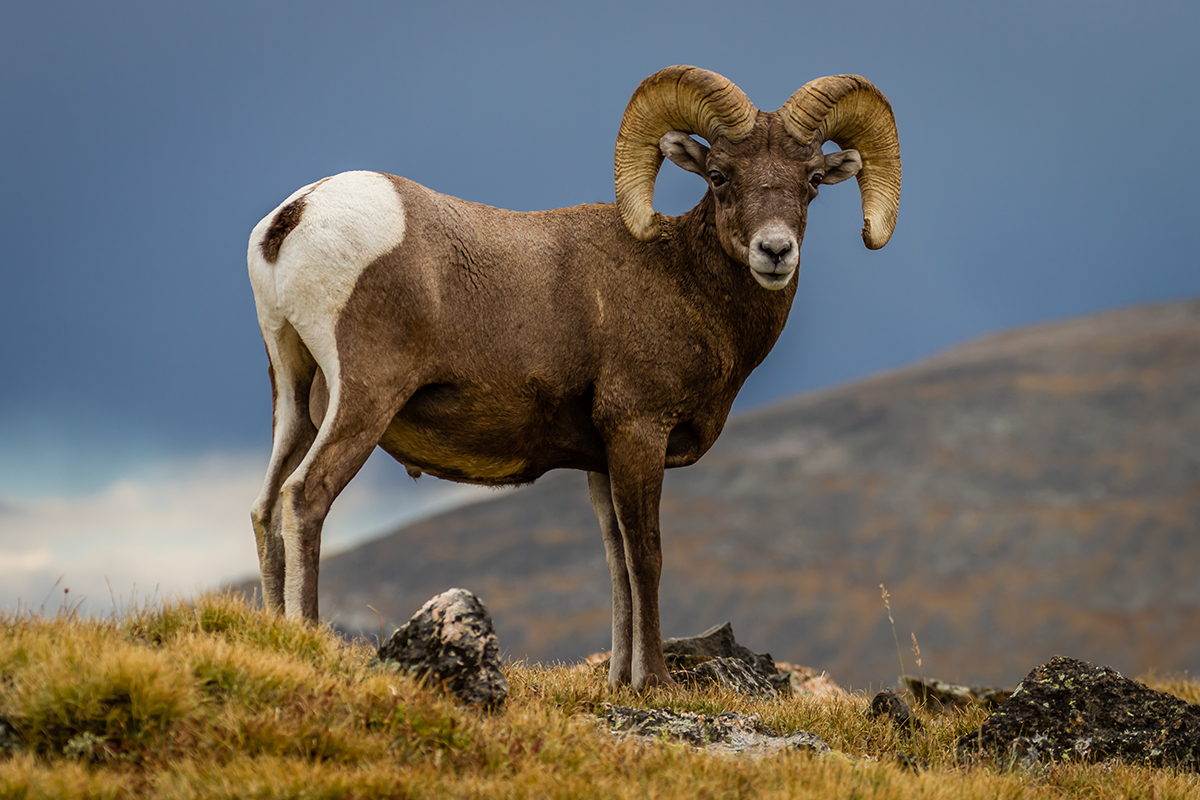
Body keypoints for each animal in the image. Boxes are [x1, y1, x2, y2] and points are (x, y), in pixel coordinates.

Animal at [246, 65, 902, 690]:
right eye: (719, 175)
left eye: (811, 180)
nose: (775, 251)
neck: (683, 281)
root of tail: (295, 217)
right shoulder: (638, 433)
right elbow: (646, 556)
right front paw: (657, 681)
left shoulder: (599, 462)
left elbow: (616, 563)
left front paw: (620, 680)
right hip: (364, 398)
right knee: (305, 496)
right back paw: (308, 637)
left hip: (294, 396)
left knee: (265, 506)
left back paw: (279, 634)